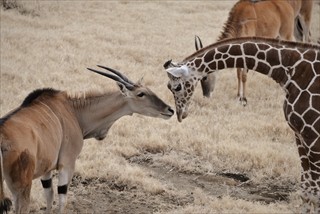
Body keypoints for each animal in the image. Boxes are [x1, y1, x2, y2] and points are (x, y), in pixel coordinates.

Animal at [0, 65, 172, 212]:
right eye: (141, 93)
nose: (169, 109)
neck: (74, 111)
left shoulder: (46, 171)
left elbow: (49, 197)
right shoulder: (67, 164)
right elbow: (62, 201)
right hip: (21, 189)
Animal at [165, 36, 320, 212]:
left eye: (176, 87)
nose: (180, 114)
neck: (293, 71)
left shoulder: (313, 137)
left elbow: (314, 194)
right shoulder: (299, 135)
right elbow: (306, 191)